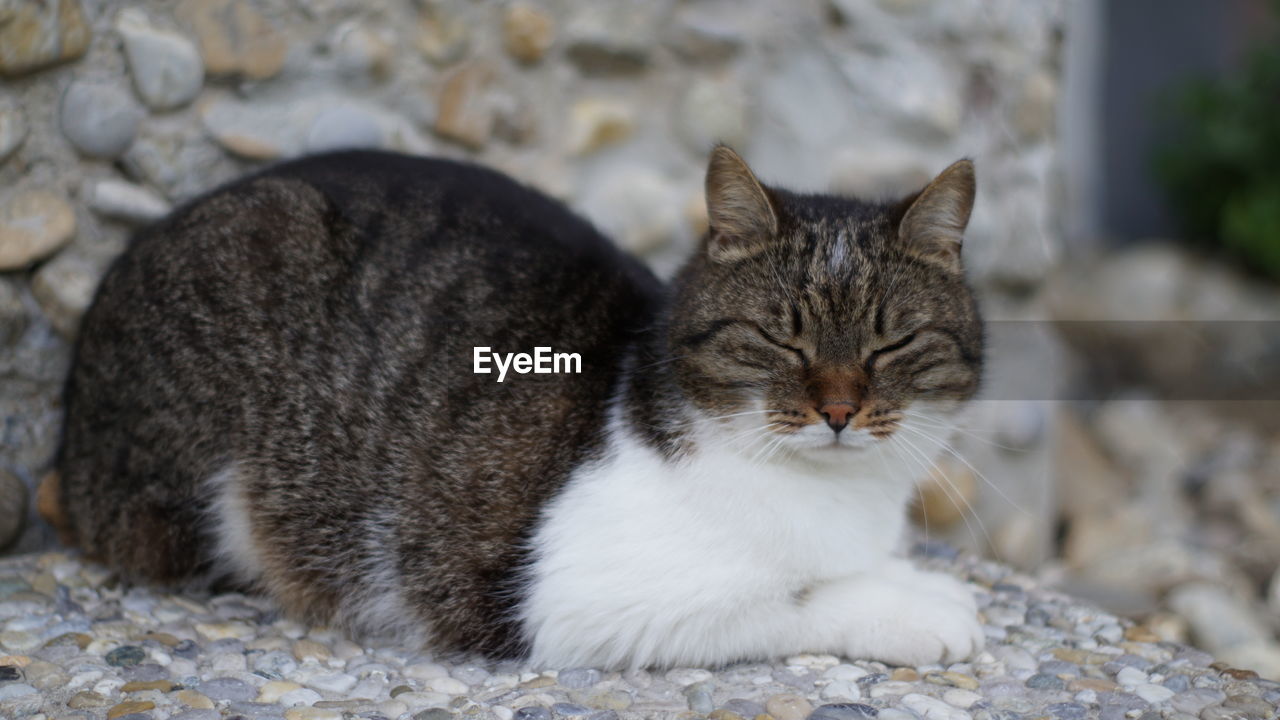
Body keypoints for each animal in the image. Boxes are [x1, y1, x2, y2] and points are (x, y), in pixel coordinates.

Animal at [55, 144, 983, 666]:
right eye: (781, 340)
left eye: (892, 345)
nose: (839, 409)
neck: (837, 501)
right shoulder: (568, 598)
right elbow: (795, 601)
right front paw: (915, 611)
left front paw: (906, 574)